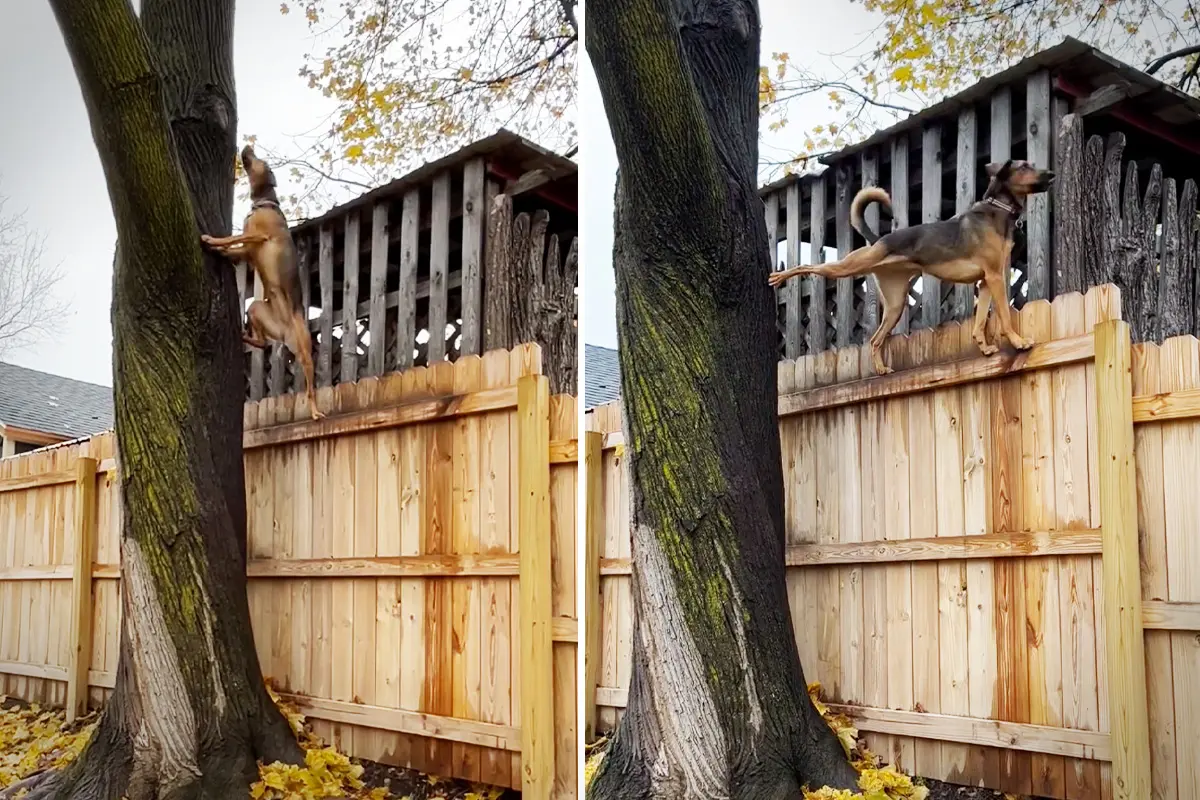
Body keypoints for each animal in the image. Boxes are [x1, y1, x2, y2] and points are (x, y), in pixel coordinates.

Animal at [201, 145, 324, 419]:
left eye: (261, 161)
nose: (247, 147)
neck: (263, 203)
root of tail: (286, 331)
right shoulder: (248, 249)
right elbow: (233, 248)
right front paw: (219, 250)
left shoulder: (256, 236)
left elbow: (232, 237)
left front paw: (212, 240)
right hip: (257, 309)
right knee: (261, 341)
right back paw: (245, 336)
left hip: (305, 351)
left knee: (311, 387)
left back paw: (314, 411)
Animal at [772, 160, 1056, 379]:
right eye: (1024, 166)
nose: (1051, 174)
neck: (997, 209)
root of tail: (878, 239)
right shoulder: (996, 278)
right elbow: (1005, 316)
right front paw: (1019, 342)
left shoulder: (986, 281)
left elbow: (979, 322)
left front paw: (984, 348)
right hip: (849, 265)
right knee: (810, 266)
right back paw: (779, 276)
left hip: (895, 303)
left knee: (874, 340)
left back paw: (881, 369)